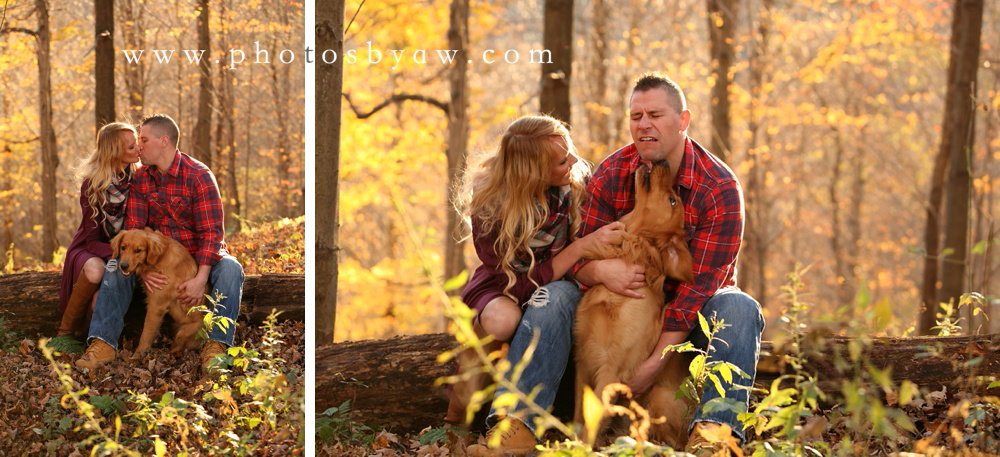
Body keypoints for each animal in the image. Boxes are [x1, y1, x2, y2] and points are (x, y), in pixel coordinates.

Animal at [111, 227, 203, 356]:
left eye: (137, 250)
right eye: (123, 247)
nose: (123, 266)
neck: (160, 258)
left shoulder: (156, 306)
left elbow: (146, 334)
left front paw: (137, 356)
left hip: (183, 332)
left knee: (178, 347)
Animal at [572, 161, 696, 446]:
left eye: (673, 200)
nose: (662, 163)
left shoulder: (613, 368)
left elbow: (593, 418)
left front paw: (582, 446)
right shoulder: (583, 357)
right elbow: (579, 412)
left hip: (659, 396)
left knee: (674, 442)